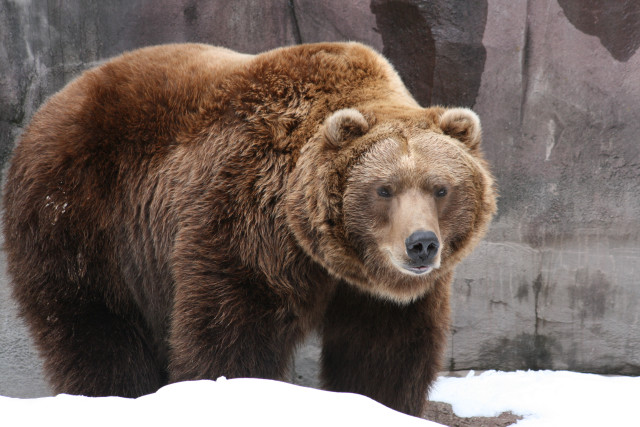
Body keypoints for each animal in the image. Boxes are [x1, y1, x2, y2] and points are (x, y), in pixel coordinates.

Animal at [2, 42, 496, 416]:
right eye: (384, 189)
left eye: (441, 188)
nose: (421, 245)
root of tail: (51, 104)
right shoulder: (247, 220)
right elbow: (231, 330)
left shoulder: (376, 293)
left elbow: (384, 350)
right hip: (80, 217)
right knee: (95, 327)